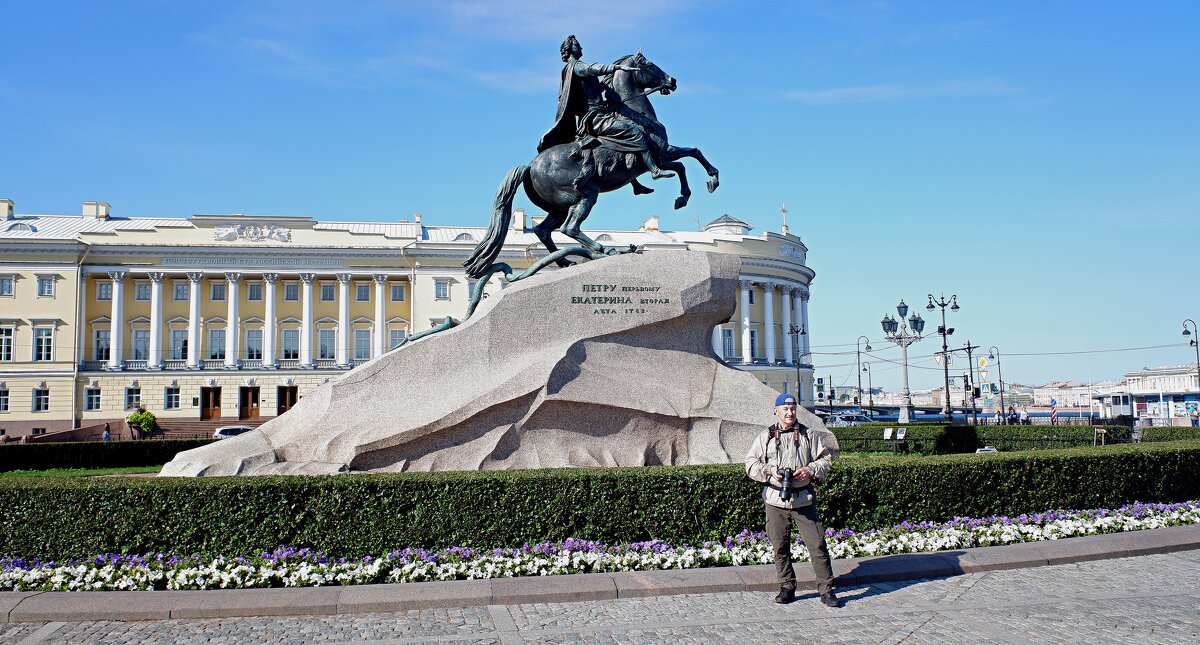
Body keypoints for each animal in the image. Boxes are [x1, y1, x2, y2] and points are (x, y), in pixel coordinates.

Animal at [463, 50, 715, 278]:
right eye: (650, 65)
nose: (672, 81)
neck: (636, 116)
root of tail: (529, 167)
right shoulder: (660, 153)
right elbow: (686, 160)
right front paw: (697, 187)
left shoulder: (661, 155)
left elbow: (689, 157)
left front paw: (695, 189)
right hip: (584, 195)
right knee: (570, 227)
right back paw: (605, 250)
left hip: (558, 207)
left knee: (543, 230)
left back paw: (566, 262)